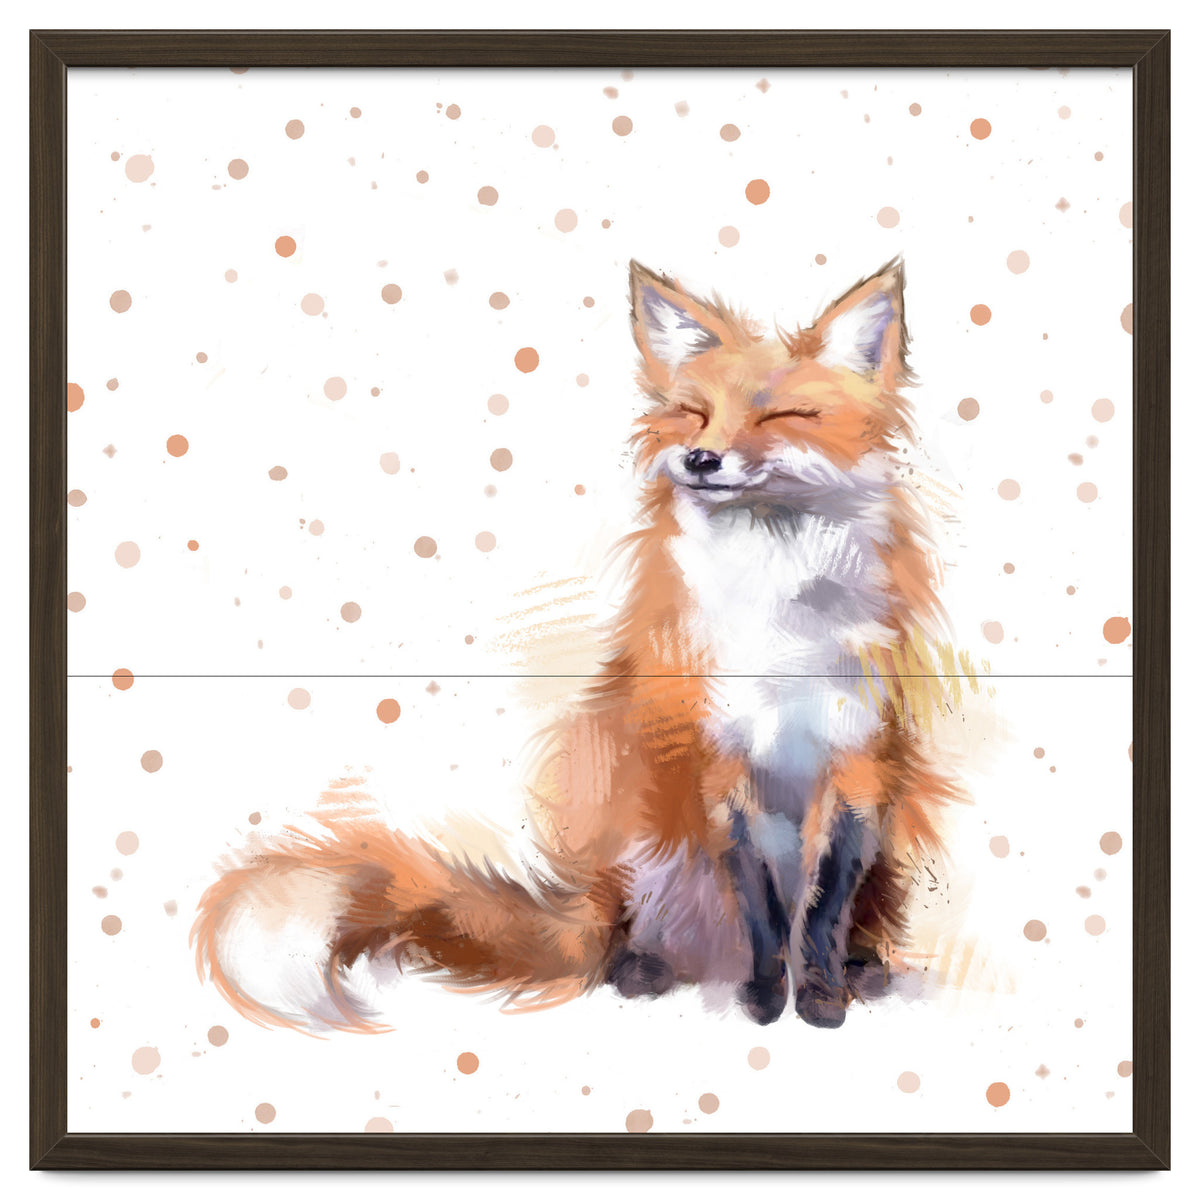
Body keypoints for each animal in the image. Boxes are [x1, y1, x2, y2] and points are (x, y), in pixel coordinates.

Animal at [193, 256, 963, 1031]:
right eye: (693, 412)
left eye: (781, 416)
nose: (700, 457)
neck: (776, 621)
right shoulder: (719, 763)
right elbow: (764, 909)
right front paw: (766, 999)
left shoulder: (860, 763)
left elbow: (824, 908)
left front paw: (822, 997)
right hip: (632, 819)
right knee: (626, 931)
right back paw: (645, 967)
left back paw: (862, 970)